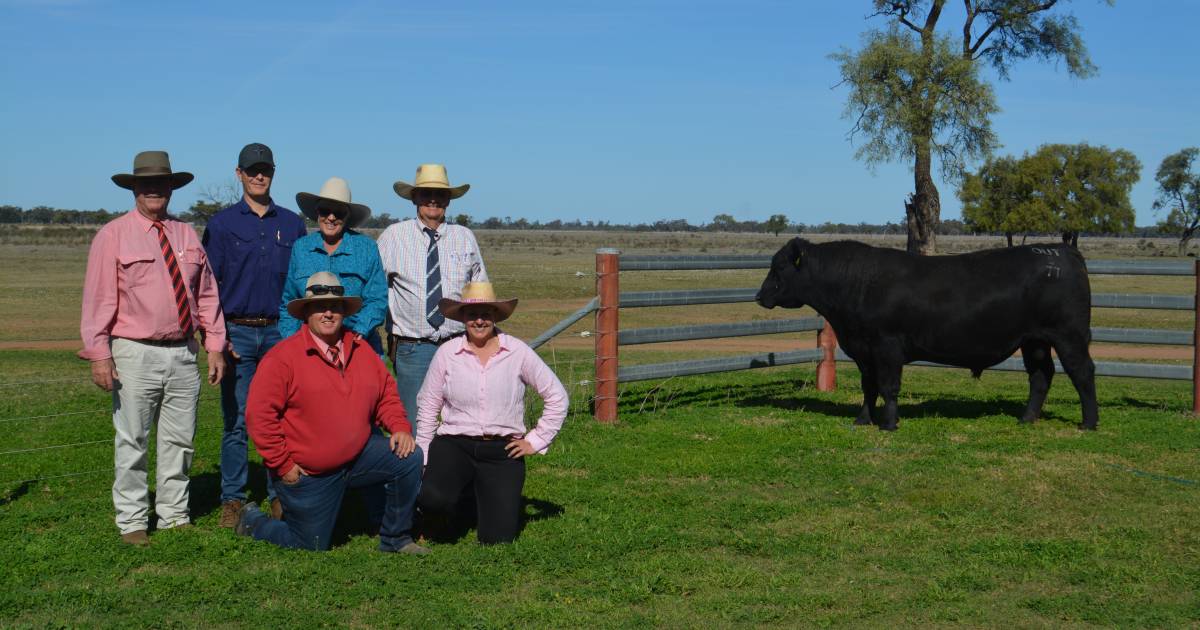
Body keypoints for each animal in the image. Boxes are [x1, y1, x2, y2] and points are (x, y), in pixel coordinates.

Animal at [753, 238, 1099, 429]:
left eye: (779, 268)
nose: (759, 295)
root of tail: (1061, 251)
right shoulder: (864, 351)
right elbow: (869, 387)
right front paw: (863, 420)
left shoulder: (887, 346)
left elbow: (889, 386)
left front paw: (889, 424)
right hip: (1034, 341)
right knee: (1040, 375)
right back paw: (1026, 418)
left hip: (1069, 336)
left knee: (1082, 372)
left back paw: (1089, 423)